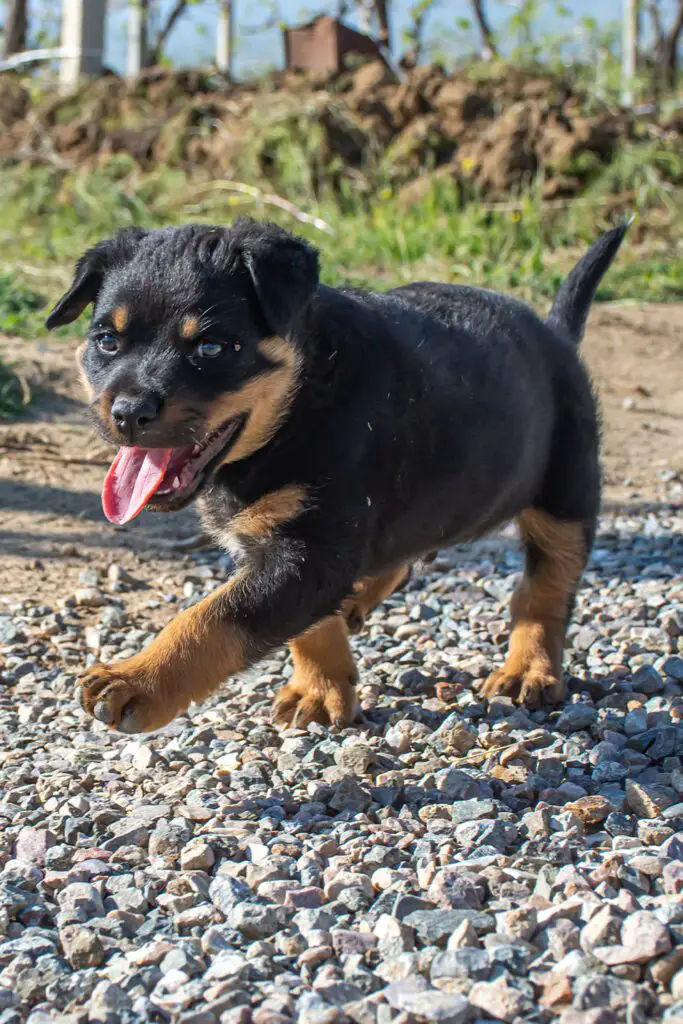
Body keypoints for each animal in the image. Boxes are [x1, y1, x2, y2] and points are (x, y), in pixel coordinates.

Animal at [45, 216, 626, 733]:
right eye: (107, 341)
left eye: (211, 348)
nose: (128, 412)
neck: (300, 400)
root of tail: (556, 335)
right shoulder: (300, 551)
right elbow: (307, 627)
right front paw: (321, 691)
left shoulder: (312, 548)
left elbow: (211, 618)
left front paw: (136, 680)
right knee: (403, 558)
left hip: (566, 496)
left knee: (545, 588)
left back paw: (529, 669)